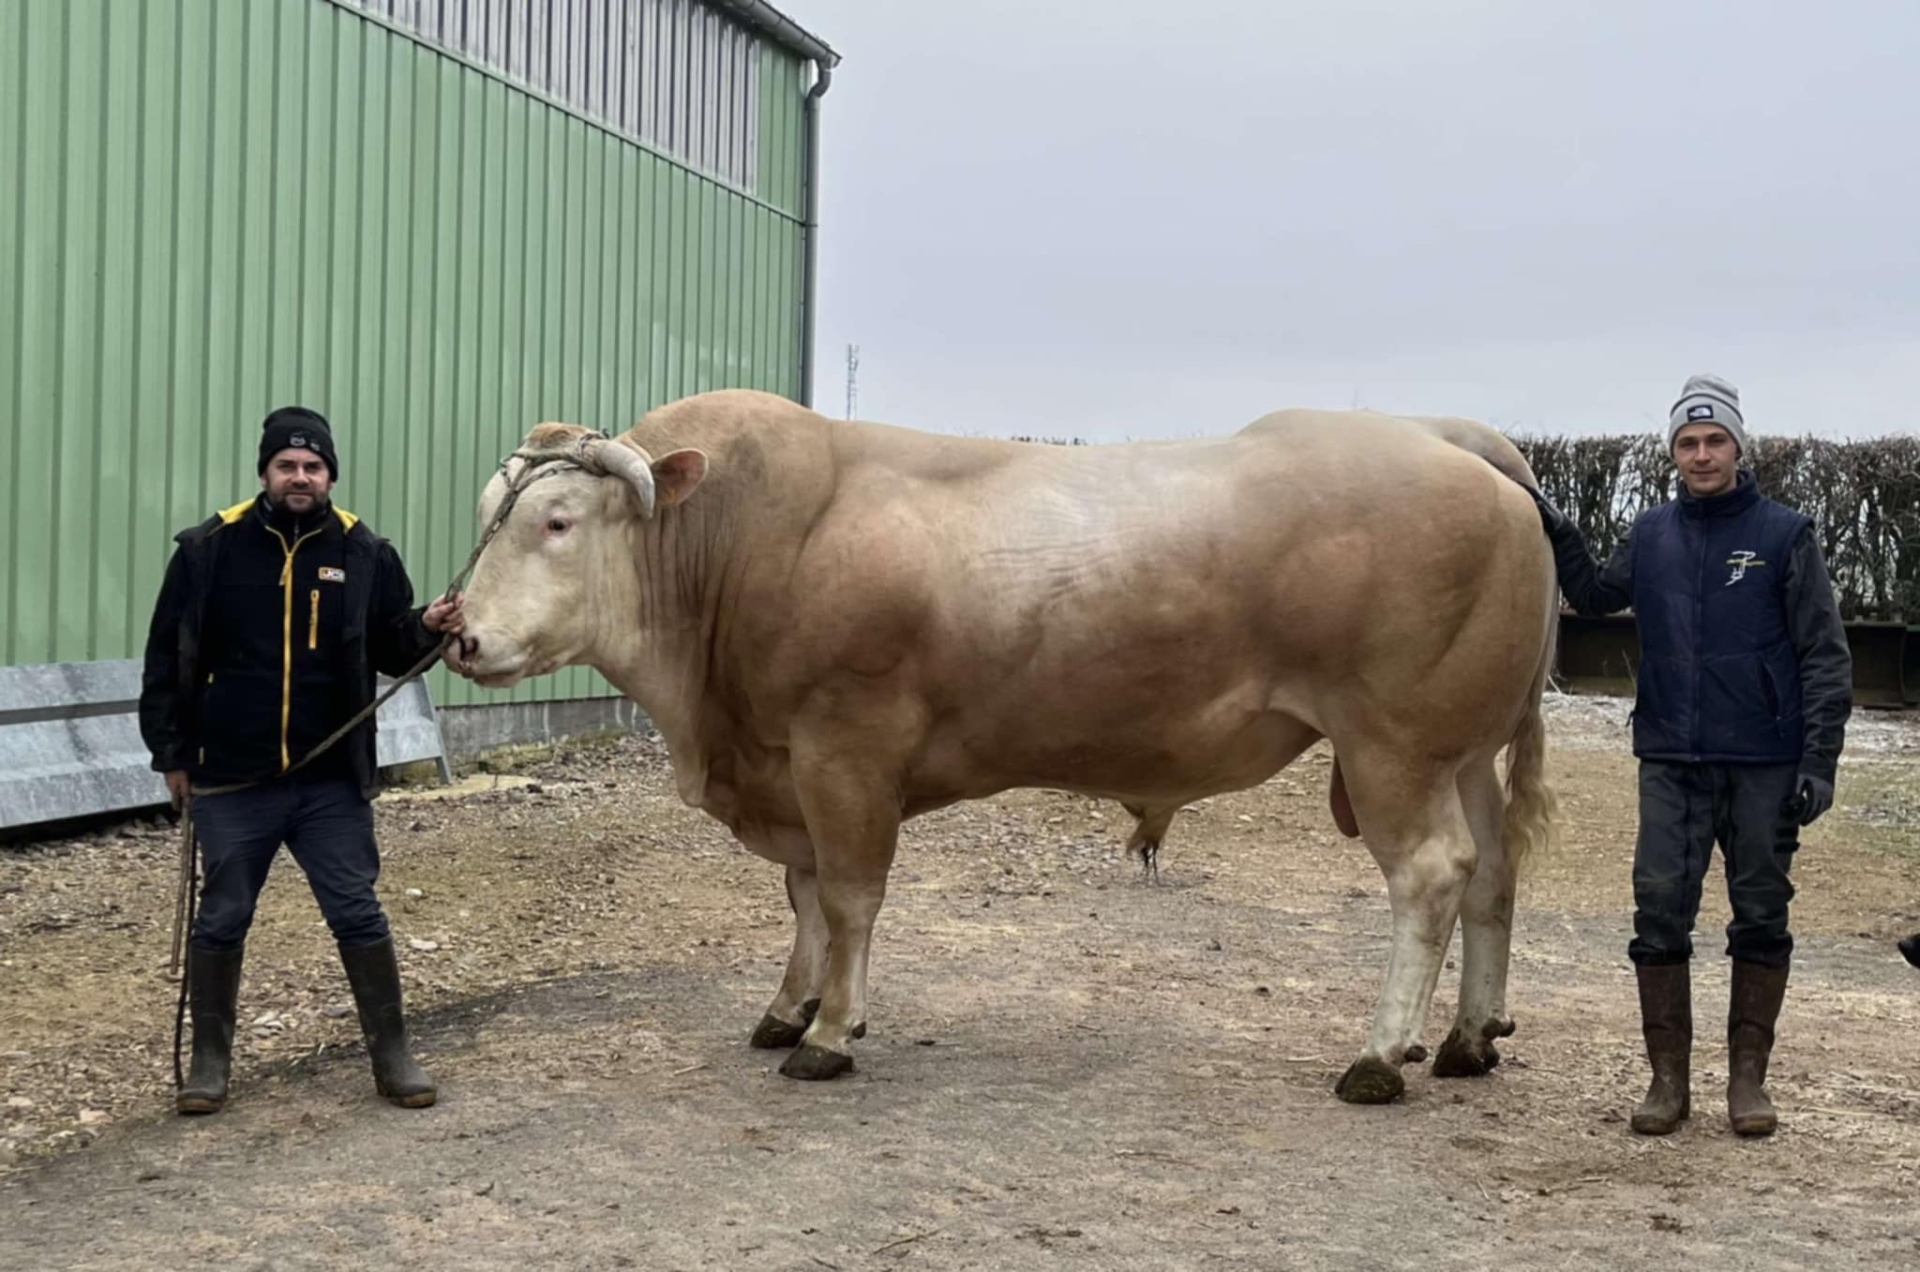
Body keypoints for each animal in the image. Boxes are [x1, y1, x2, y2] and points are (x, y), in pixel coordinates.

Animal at [449, 391, 1559, 1106]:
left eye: (558, 521)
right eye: (490, 517)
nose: (452, 631)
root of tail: (1454, 439)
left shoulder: (843, 748)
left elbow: (848, 896)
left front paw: (829, 1033)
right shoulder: (786, 765)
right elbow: (804, 897)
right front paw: (789, 1005)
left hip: (1393, 747)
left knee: (1433, 875)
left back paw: (1378, 1057)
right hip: (1463, 750)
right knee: (1494, 876)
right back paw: (1467, 1038)